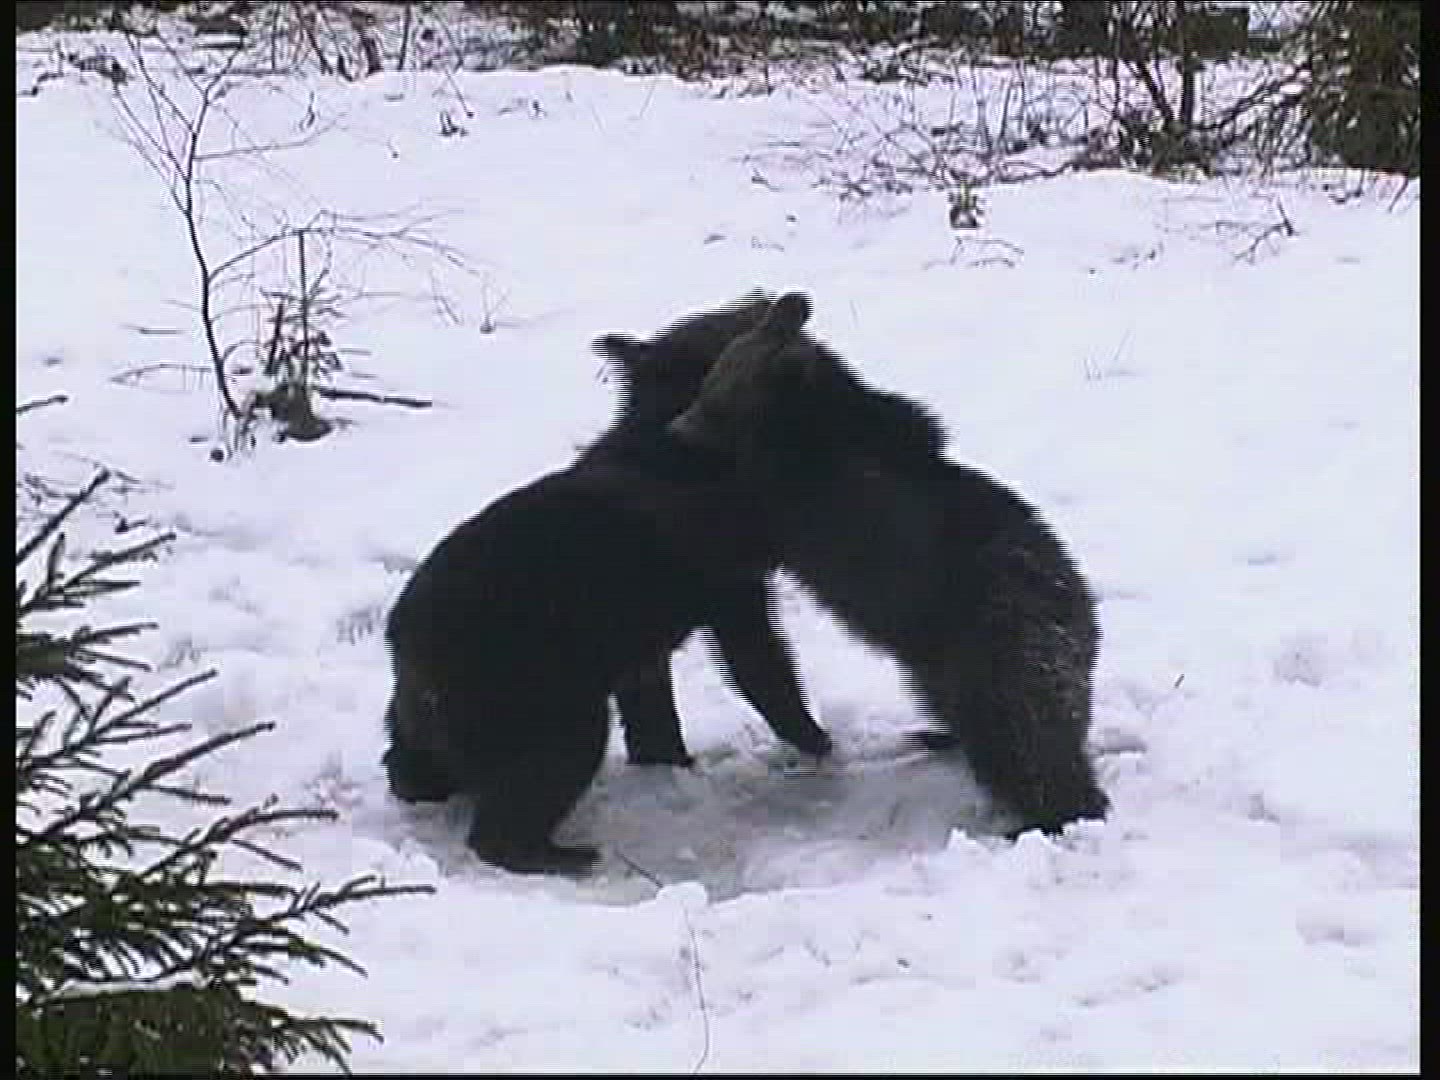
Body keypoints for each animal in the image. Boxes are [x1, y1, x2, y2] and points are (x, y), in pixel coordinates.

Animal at [383, 406, 832, 875]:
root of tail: (406, 639)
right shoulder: (720, 571)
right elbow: (756, 657)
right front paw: (815, 739)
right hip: (525, 689)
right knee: (547, 768)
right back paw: (560, 855)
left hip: (436, 709)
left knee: (415, 761)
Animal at [609, 291, 1109, 835]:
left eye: (709, 388)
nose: (677, 427)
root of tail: (1086, 618)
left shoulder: (791, 495)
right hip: (940, 667)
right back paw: (938, 738)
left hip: (1000, 649)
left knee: (1025, 744)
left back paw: (1049, 812)